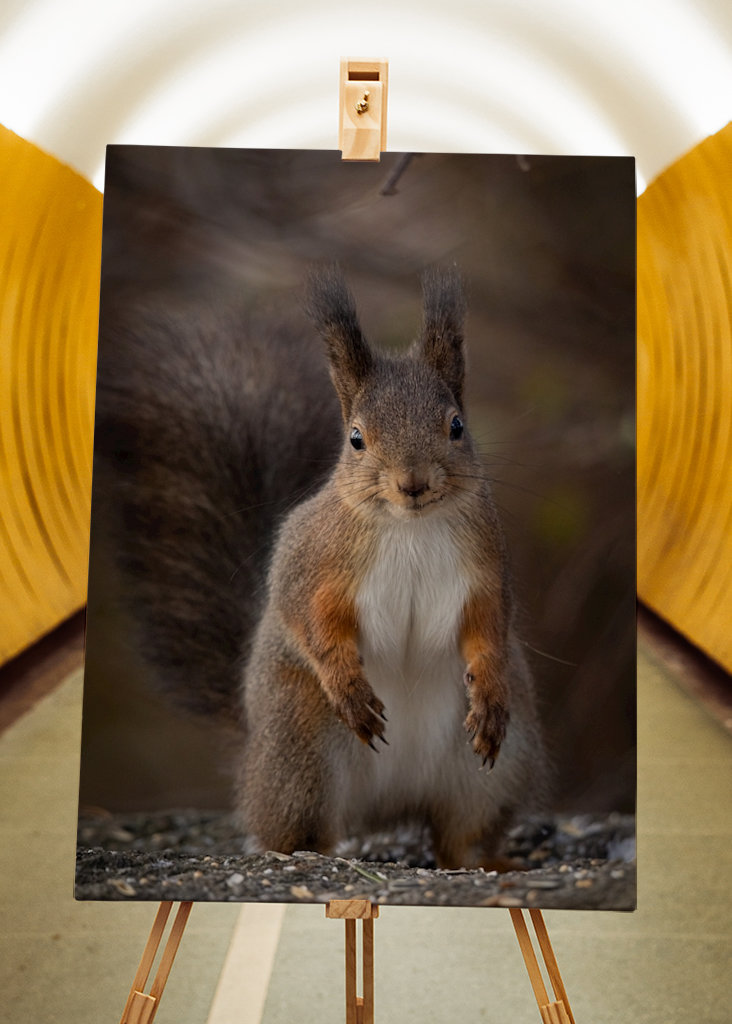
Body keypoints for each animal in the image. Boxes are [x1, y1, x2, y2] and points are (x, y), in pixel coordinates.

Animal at [235, 266, 548, 870]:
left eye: (456, 426)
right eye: (356, 438)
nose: (413, 483)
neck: (410, 528)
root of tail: (390, 804)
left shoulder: (486, 570)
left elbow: (489, 628)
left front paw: (489, 691)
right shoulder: (313, 563)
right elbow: (308, 620)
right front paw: (348, 686)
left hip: (495, 771)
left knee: (461, 834)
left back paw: (487, 860)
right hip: (299, 750)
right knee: (298, 826)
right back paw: (308, 853)